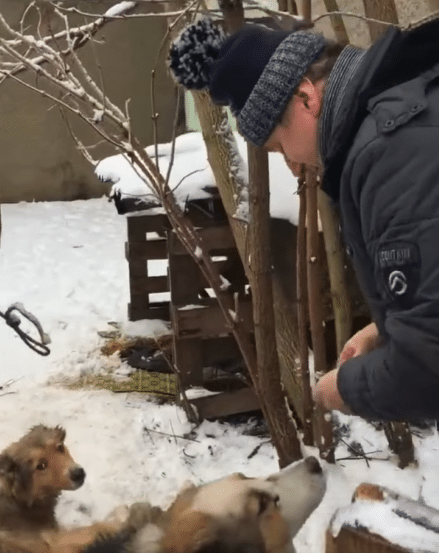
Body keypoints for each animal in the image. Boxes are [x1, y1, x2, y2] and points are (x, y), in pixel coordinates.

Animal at [0, 425, 125, 553]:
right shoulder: (52, 544)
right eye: (41, 466)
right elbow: (92, 528)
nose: (78, 474)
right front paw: (117, 519)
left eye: (59, 447)